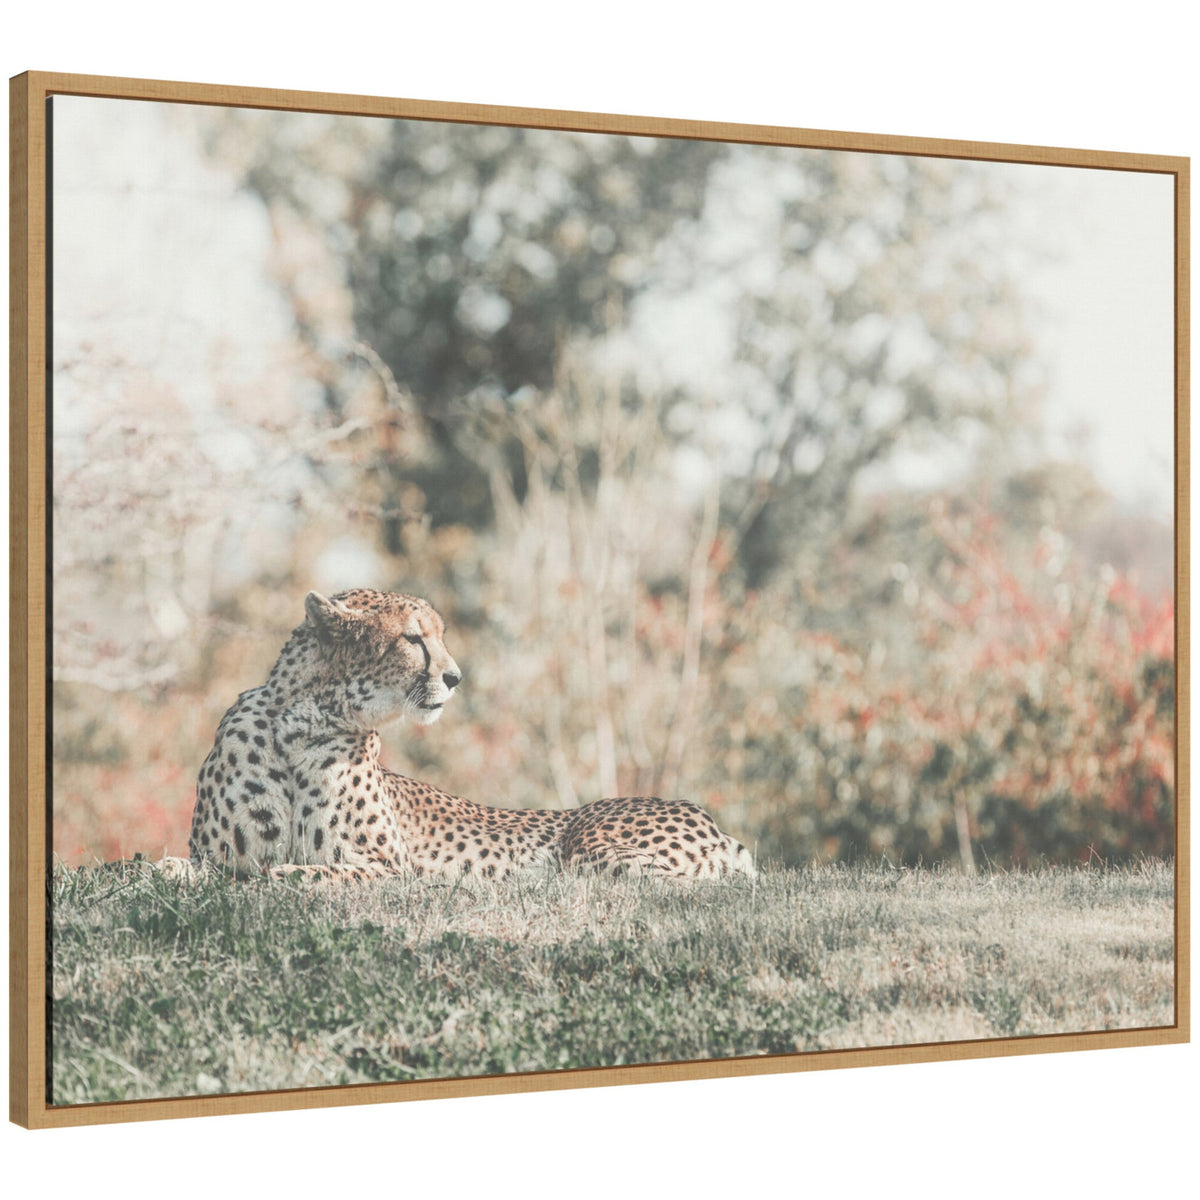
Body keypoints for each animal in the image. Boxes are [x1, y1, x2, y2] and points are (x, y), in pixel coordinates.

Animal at [190, 588, 756, 882]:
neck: (300, 724)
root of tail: (711, 821)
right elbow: (203, 869)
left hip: (592, 848)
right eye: (413, 639)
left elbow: (299, 873)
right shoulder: (213, 856)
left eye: (440, 636)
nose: (455, 677)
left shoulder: (389, 871)